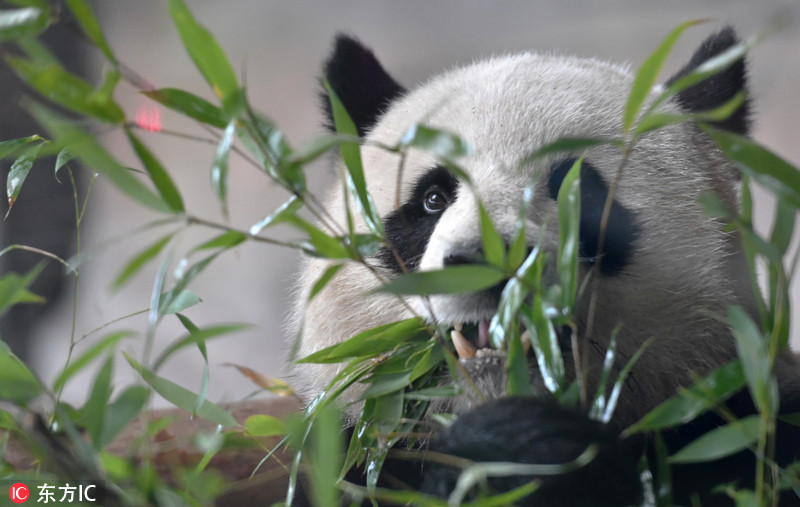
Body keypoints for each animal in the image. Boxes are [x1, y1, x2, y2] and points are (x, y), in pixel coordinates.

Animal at [290, 28, 800, 507]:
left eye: (580, 190)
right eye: (433, 198)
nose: (491, 261)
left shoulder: (738, 420)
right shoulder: (334, 456)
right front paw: (513, 451)